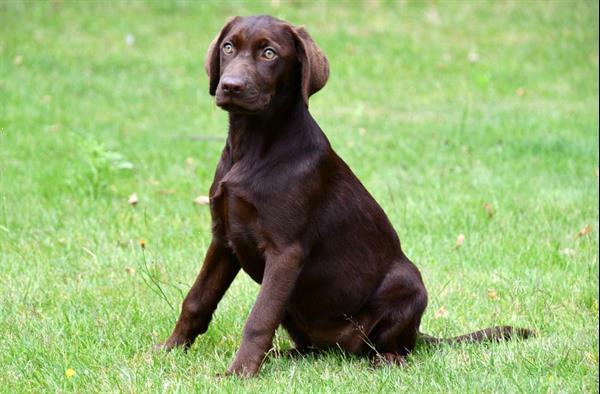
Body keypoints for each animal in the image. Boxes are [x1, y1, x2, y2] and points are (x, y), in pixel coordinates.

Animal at [157, 15, 532, 378]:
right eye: (228, 47)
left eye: (269, 53)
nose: (231, 86)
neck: (252, 146)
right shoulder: (224, 238)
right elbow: (197, 299)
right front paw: (170, 349)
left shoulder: (286, 251)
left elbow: (259, 318)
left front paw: (239, 372)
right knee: (312, 349)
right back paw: (283, 356)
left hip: (408, 283)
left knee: (397, 349)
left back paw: (384, 360)